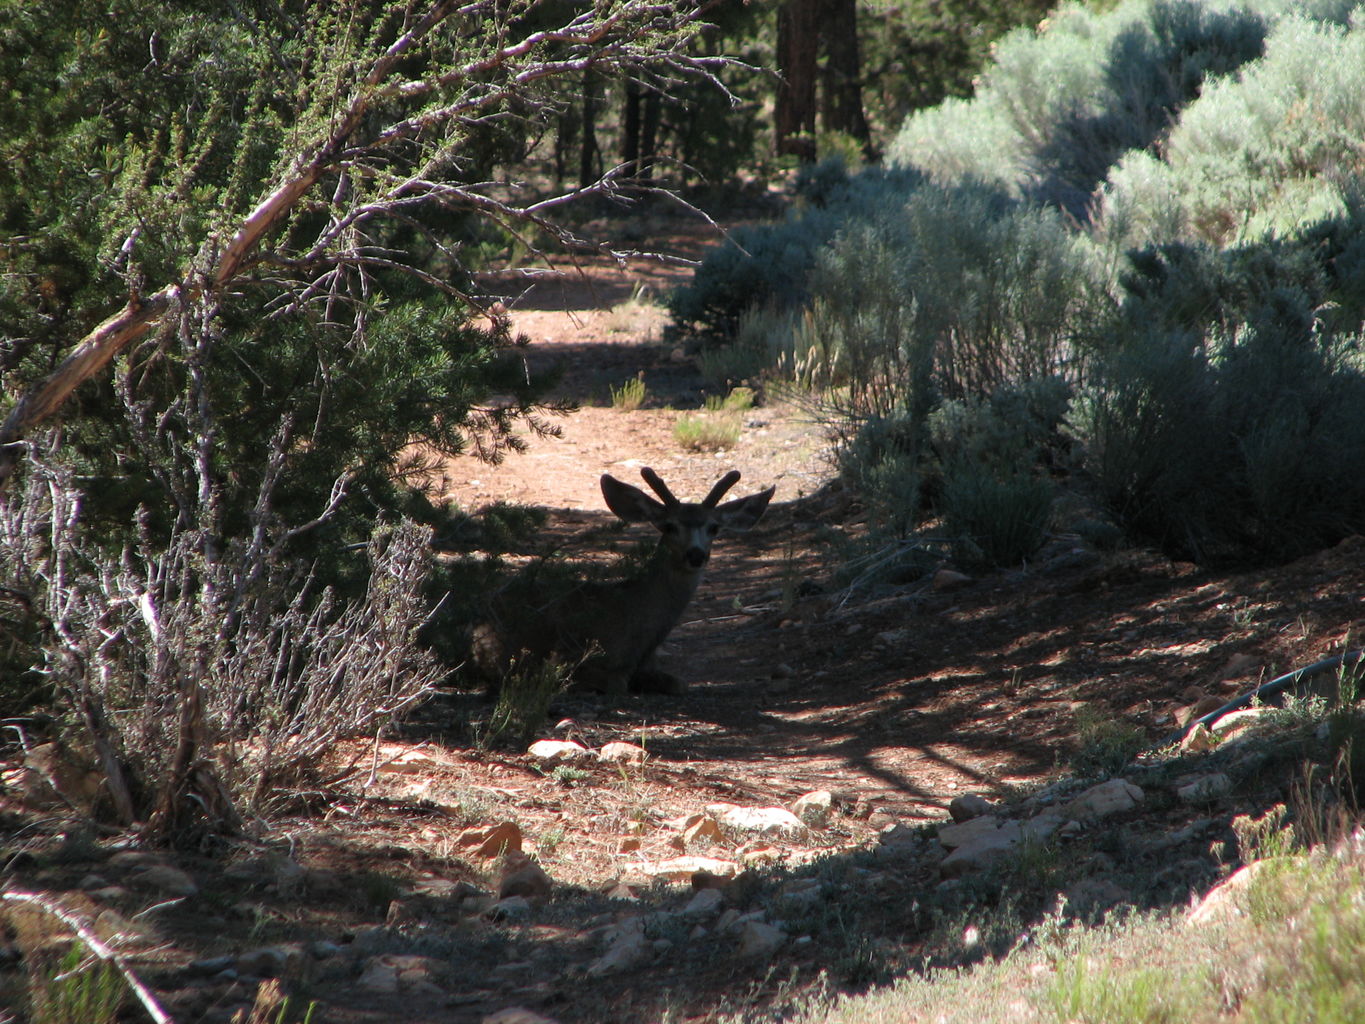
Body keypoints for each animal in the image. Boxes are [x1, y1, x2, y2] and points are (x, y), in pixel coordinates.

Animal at [475, 466, 775, 693]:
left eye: (714, 527)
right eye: (669, 526)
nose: (696, 554)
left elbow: (679, 683)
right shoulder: (574, 656)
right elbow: (617, 682)